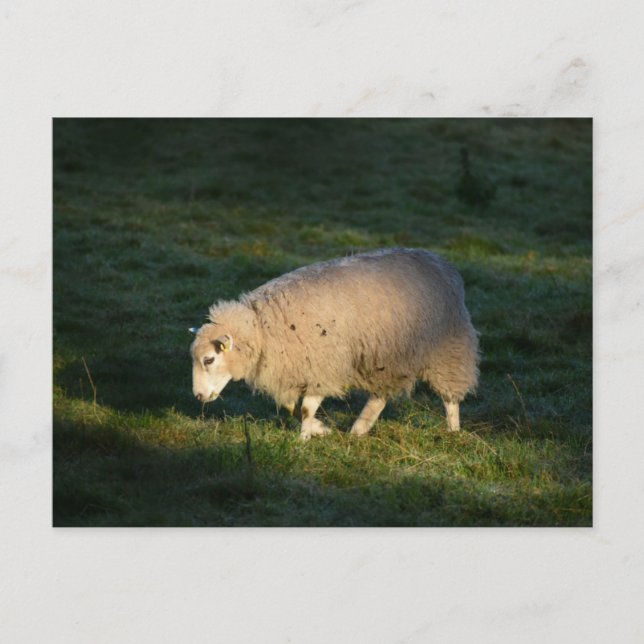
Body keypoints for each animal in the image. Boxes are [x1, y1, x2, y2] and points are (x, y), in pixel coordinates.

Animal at [190, 248, 479, 440]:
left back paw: (453, 431)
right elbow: (292, 407)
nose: (199, 397)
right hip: (386, 356)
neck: (264, 327)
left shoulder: (322, 365)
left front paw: (305, 438)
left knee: (450, 397)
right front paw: (321, 429)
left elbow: (306, 408)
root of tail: (440, 261)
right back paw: (359, 429)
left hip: (447, 350)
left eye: (209, 359)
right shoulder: (298, 368)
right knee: (380, 396)